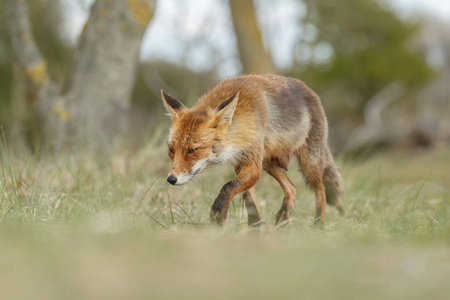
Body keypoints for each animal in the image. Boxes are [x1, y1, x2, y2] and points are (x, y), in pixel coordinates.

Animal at [162, 74, 344, 226]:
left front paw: (219, 212)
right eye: (171, 150)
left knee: (321, 191)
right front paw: (255, 227)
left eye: (192, 150)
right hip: (269, 163)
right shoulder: (241, 161)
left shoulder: (253, 166)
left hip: (309, 164)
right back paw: (283, 220)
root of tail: (312, 93)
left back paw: (319, 225)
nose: (171, 179)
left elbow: (228, 186)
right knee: (292, 189)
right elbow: (249, 198)